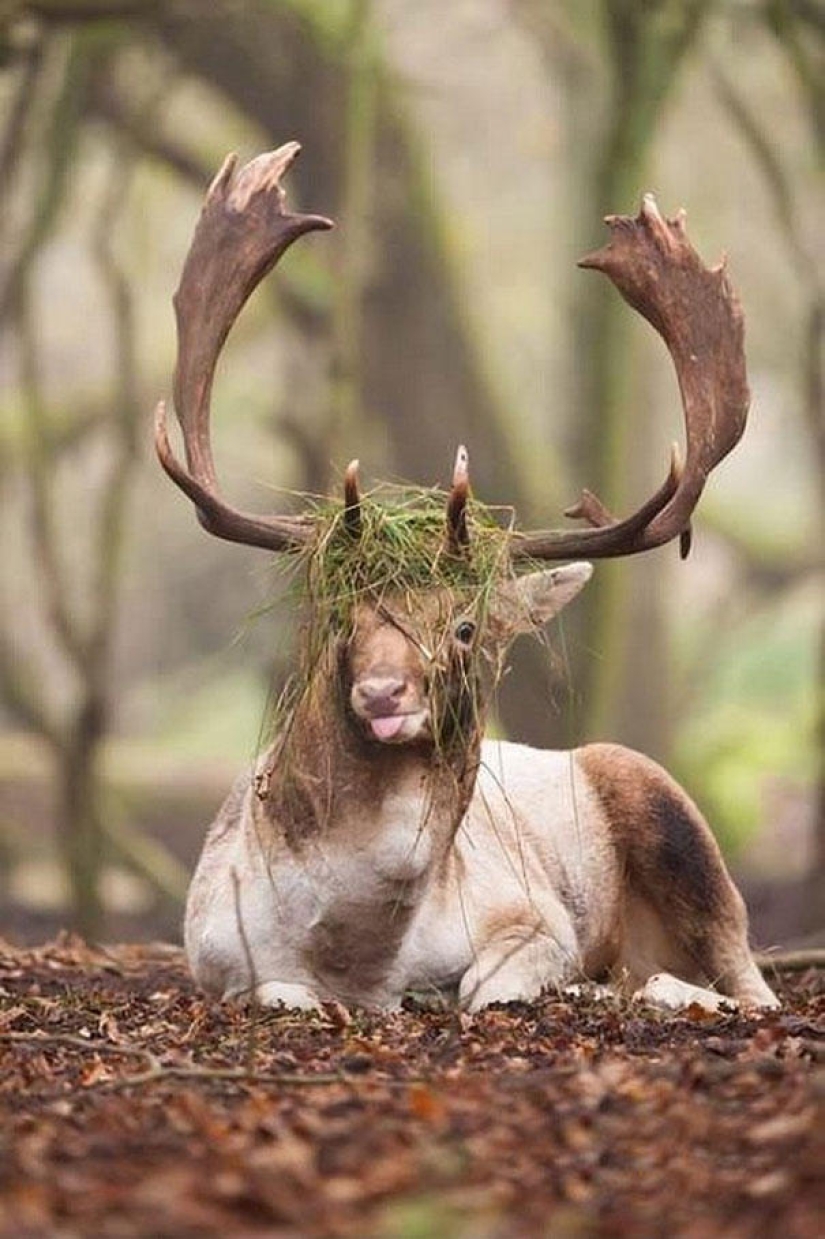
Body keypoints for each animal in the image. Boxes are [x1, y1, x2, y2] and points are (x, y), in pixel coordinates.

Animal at [156, 142, 777, 1015]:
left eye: (464, 623)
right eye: (344, 617)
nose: (382, 692)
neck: (362, 960)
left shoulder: (533, 914)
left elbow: (491, 985)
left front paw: (533, 988)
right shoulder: (214, 957)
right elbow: (281, 992)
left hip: (676, 817)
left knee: (750, 986)